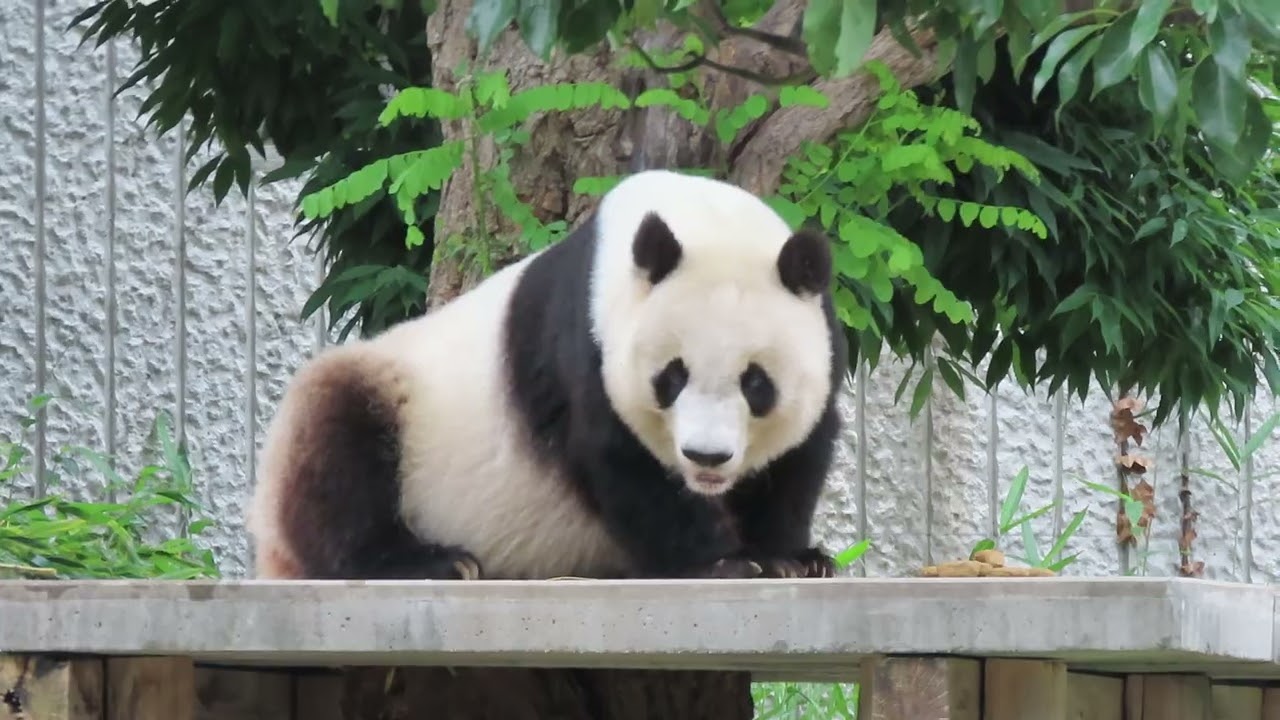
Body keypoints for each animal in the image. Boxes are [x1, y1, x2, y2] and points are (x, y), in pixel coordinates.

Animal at [246, 169, 848, 582]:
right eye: (671, 377)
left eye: (756, 383)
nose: (707, 457)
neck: (700, 219)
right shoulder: (584, 345)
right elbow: (621, 461)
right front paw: (725, 562)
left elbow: (802, 454)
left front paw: (790, 556)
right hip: (386, 391)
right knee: (337, 456)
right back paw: (431, 562)